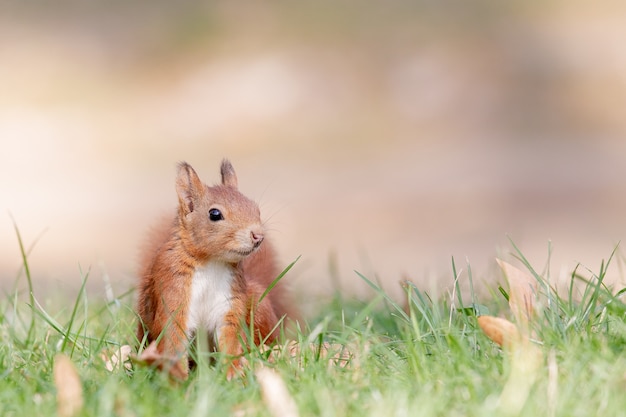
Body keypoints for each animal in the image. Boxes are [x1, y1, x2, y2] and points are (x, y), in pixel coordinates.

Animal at [135, 159, 294, 380]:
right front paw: (179, 378)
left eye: (256, 209)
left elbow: (231, 337)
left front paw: (232, 374)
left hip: (257, 304)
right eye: (215, 214)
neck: (212, 262)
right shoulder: (174, 289)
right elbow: (173, 337)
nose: (258, 235)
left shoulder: (229, 302)